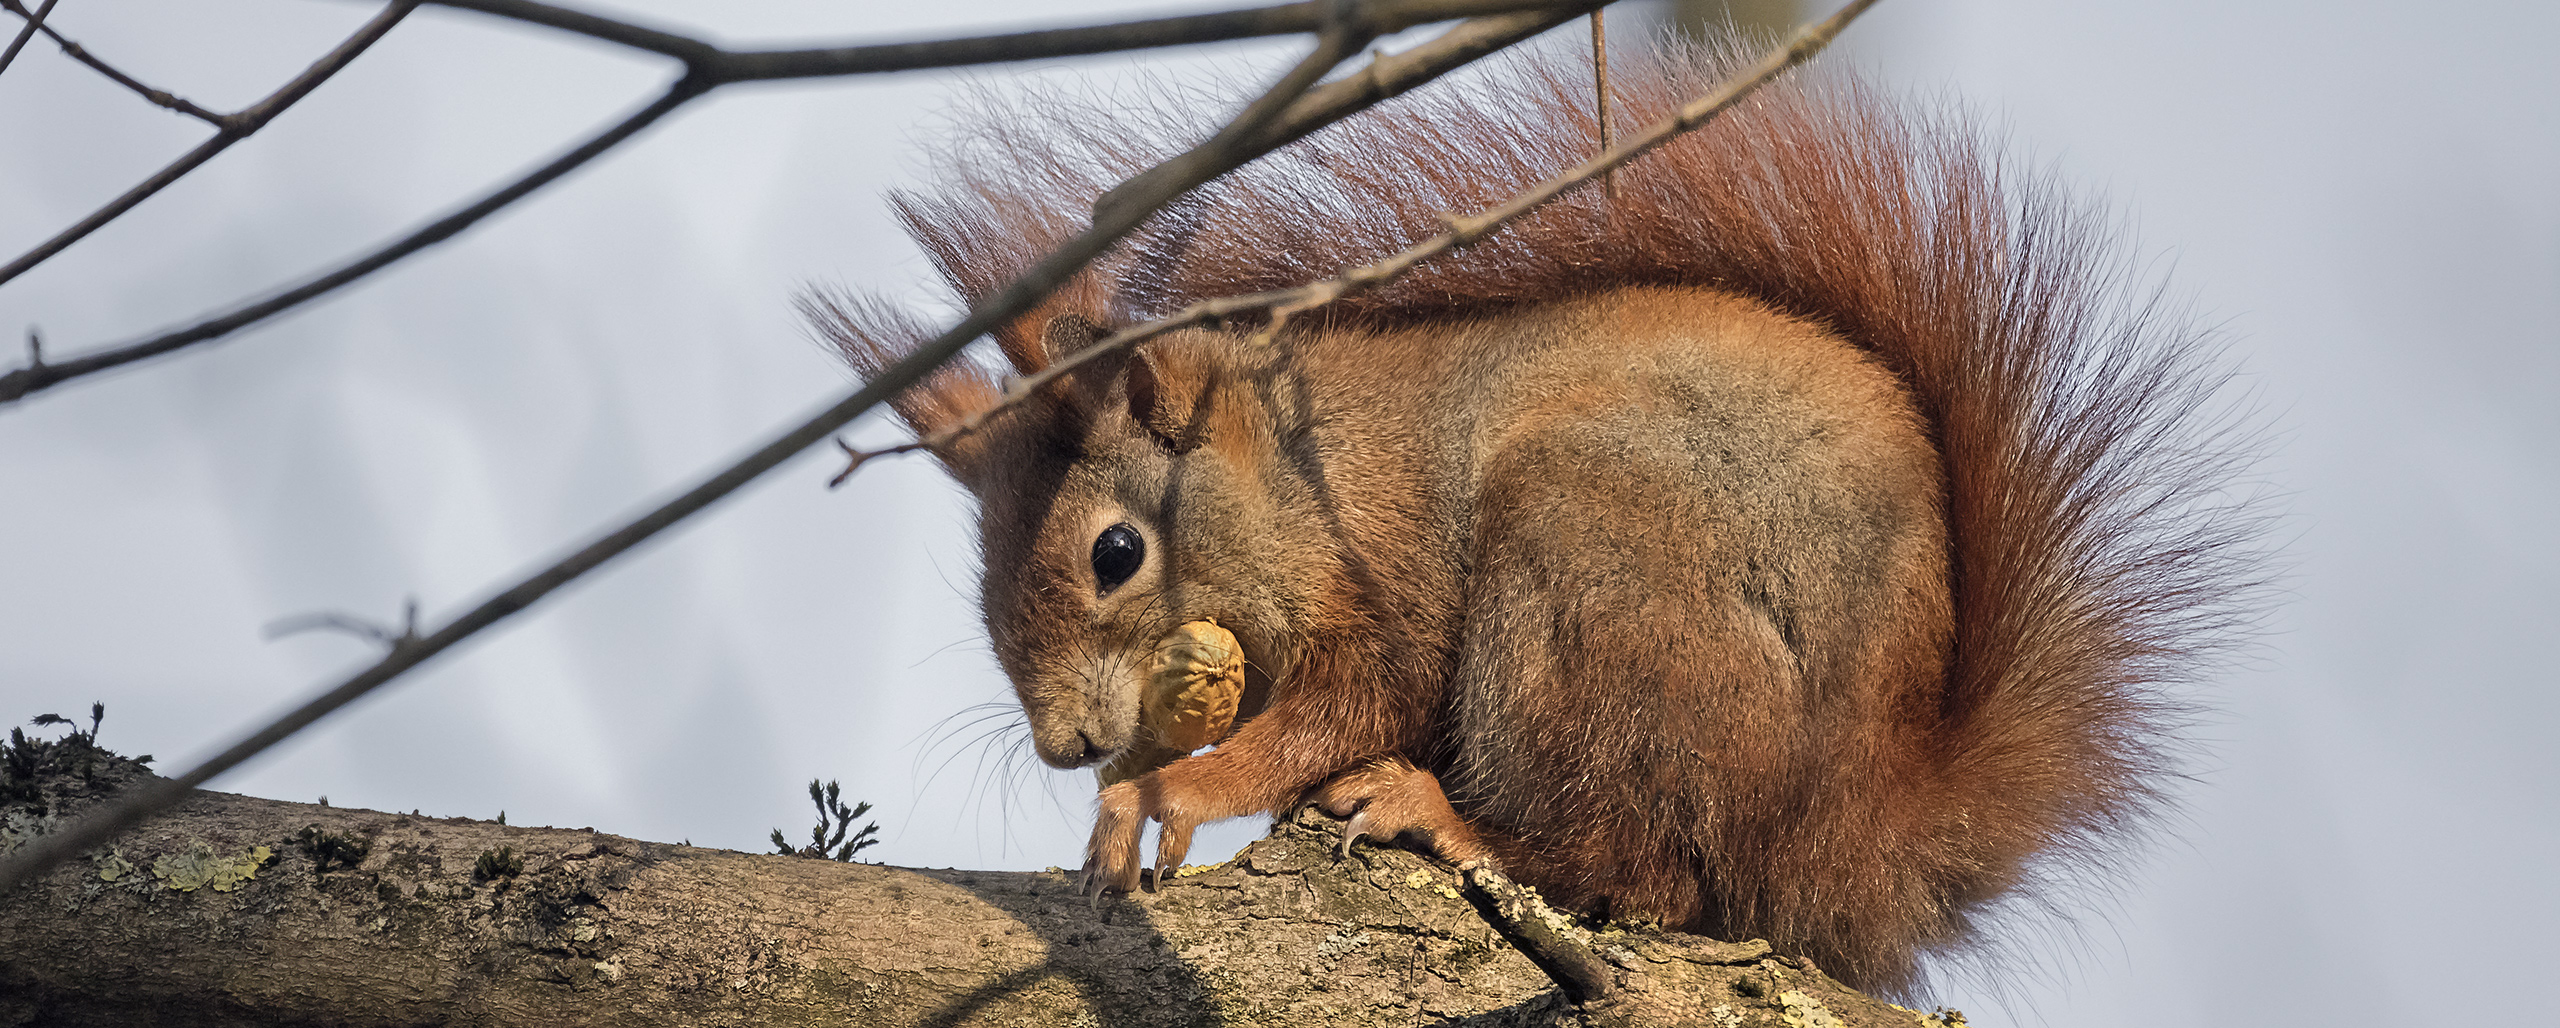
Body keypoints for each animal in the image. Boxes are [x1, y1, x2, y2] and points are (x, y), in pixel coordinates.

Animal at [803, 40, 2263, 997]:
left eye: (1116, 553)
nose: (1063, 745)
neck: (1297, 470)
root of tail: (1866, 829)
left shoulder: (1383, 580)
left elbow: (1356, 700)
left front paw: (1170, 790)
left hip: (1587, 561)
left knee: (1645, 870)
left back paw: (1442, 815)